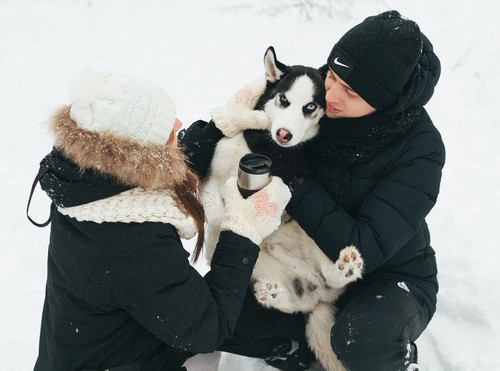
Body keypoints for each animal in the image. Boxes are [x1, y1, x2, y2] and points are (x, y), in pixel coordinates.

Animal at [203, 47, 364, 371]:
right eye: (284, 100)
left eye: (311, 106)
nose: (284, 134)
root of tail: (315, 292)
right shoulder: (215, 176)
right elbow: (214, 208)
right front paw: (218, 235)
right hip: (263, 270)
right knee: (292, 303)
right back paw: (273, 294)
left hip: (311, 235)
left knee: (332, 276)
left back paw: (347, 266)